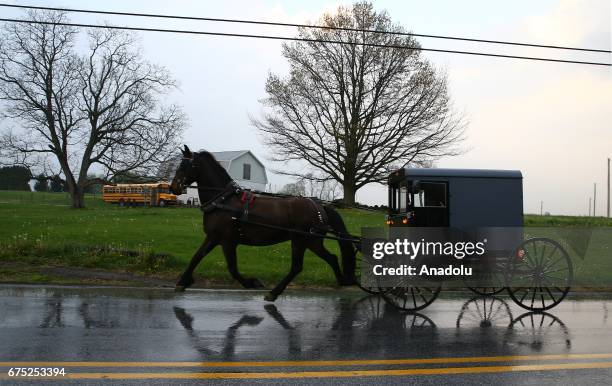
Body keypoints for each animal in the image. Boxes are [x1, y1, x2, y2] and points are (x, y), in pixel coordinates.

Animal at [170, 146, 356, 300]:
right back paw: (342, 280)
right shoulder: (213, 237)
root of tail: (319, 206)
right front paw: (182, 282)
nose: (173, 188)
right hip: (312, 241)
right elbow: (196, 257)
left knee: (297, 267)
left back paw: (274, 293)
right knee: (331, 258)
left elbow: (232, 268)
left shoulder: (227, 241)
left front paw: (251, 282)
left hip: (300, 240)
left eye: (184, 166)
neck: (223, 201)